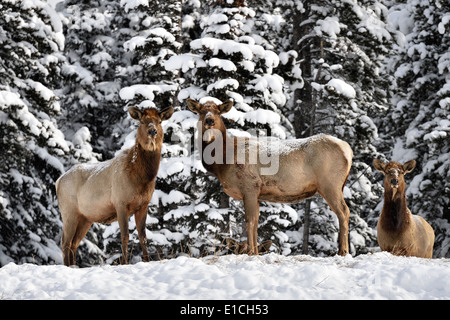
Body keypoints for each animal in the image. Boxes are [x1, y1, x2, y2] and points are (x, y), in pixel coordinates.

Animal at [57, 106, 173, 266]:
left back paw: (74, 266)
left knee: (74, 243)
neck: (142, 179)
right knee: (65, 242)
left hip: (85, 218)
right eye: (142, 121)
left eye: (160, 121)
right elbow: (125, 236)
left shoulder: (143, 205)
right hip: (69, 211)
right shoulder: (120, 203)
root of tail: (58, 181)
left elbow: (143, 237)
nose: (152, 131)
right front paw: (125, 262)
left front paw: (147, 260)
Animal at [188, 99, 354, 256]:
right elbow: (256, 222)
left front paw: (251, 252)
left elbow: (250, 221)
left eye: (218, 112)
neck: (223, 162)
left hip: (330, 184)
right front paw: (255, 251)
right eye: (201, 112)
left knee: (344, 211)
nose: (210, 120)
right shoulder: (256, 193)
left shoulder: (250, 185)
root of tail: (348, 149)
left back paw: (343, 251)